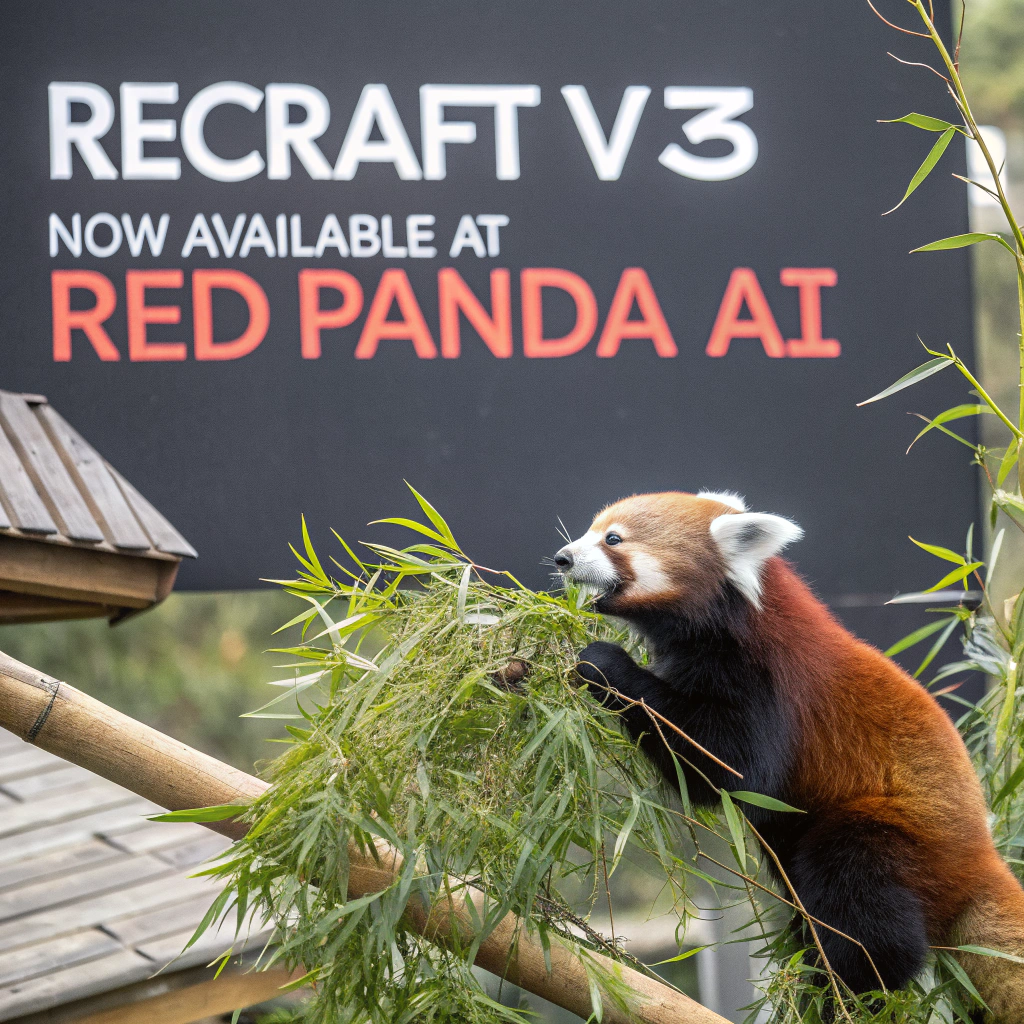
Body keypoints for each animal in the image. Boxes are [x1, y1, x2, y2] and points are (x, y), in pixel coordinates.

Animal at [553, 490, 1024, 1020]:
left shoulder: (767, 681)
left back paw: (841, 991)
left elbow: (728, 768)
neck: (733, 615)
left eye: (613, 539)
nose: (563, 557)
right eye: (591, 531)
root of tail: (981, 857)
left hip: (895, 833)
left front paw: (603, 662)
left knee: (863, 913)